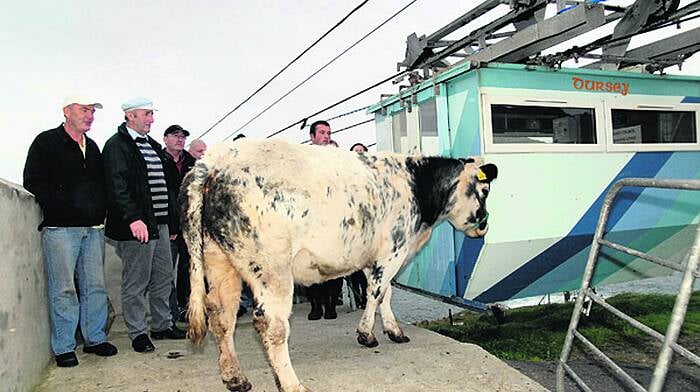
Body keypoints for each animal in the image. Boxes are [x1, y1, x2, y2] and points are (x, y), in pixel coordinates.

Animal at [180, 139, 498, 390]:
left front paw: (393, 331)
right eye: (484, 191)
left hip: (221, 262)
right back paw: (292, 385)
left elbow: (385, 293)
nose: (485, 225)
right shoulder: (393, 250)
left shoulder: (375, 257)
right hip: (272, 269)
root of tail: (215, 158)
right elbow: (376, 293)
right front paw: (367, 334)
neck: (417, 186)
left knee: (221, 314)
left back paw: (235, 377)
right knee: (271, 325)